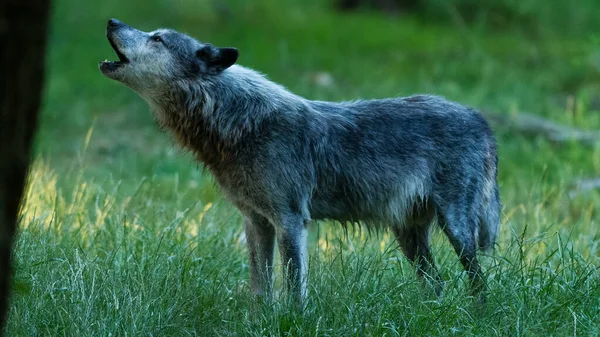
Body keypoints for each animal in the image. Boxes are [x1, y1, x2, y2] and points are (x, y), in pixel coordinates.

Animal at [99, 18, 502, 304]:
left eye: (158, 39)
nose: (112, 20)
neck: (240, 122)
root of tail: (478, 118)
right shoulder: (256, 222)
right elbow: (260, 289)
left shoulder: (290, 221)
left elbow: (293, 291)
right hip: (408, 235)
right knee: (438, 286)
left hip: (457, 229)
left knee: (479, 283)